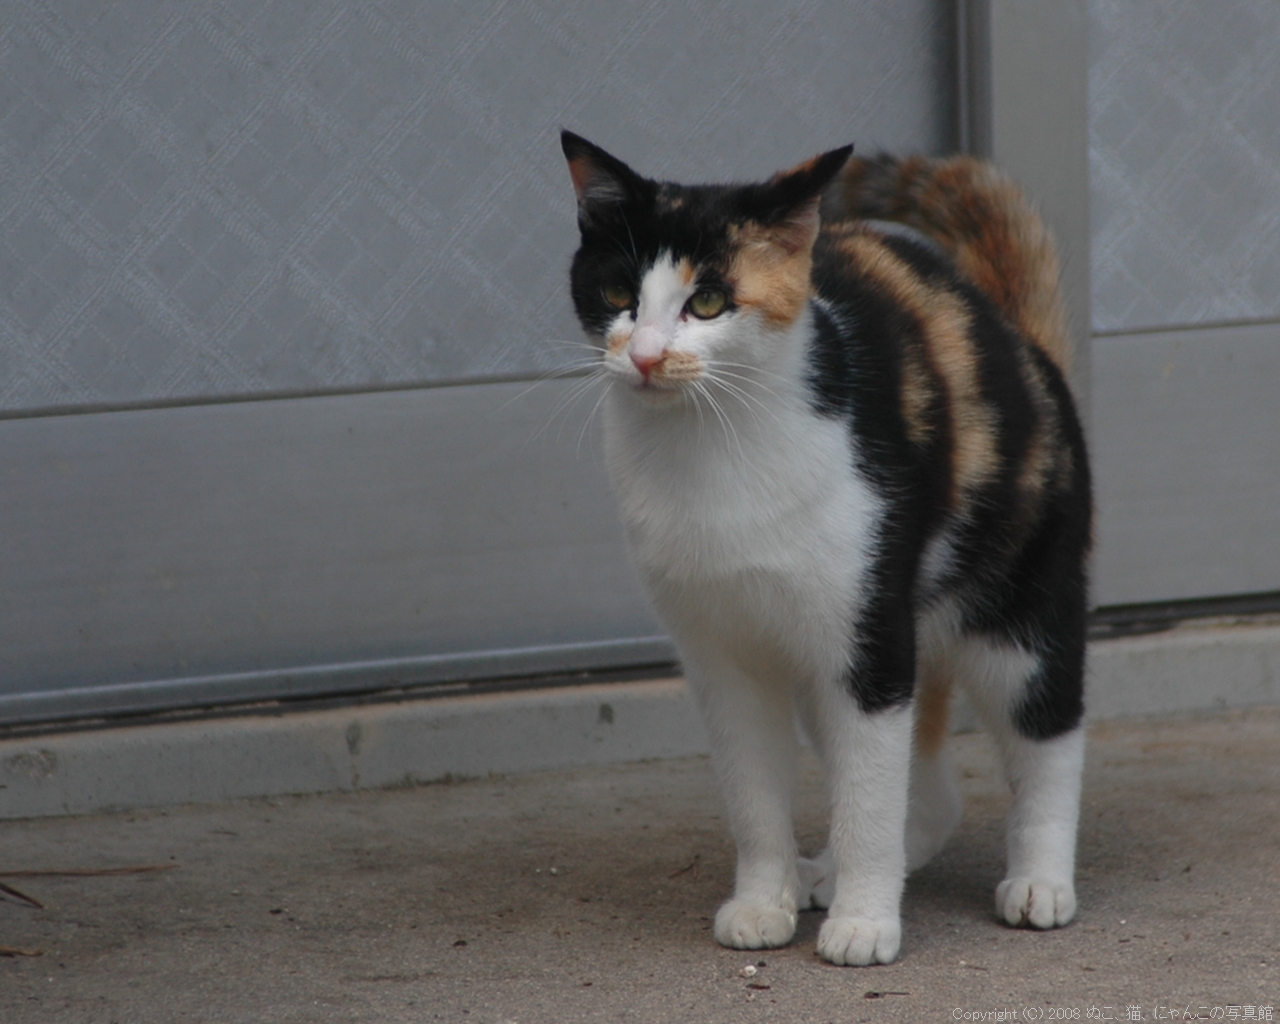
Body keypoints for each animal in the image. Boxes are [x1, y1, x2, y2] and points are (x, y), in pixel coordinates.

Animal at [560, 131, 1090, 962]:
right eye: (617, 293)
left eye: (707, 301)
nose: (643, 357)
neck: (712, 448)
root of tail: (1018, 333)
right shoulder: (724, 660)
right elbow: (756, 795)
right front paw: (764, 902)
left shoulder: (870, 642)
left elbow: (870, 796)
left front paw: (865, 922)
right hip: (838, 663)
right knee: (927, 794)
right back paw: (828, 872)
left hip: (1016, 614)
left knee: (1047, 737)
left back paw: (1039, 882)